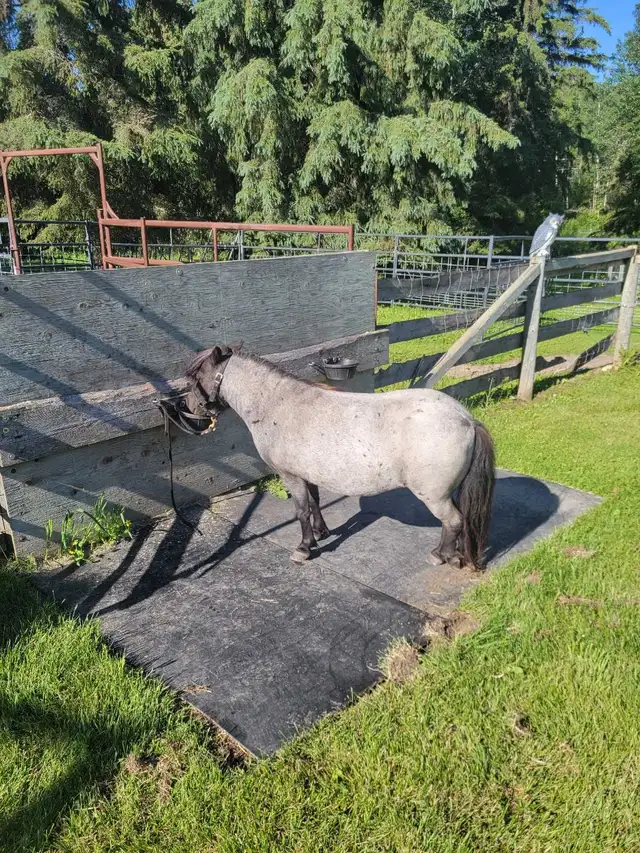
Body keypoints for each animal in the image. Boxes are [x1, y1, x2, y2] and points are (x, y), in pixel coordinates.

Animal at [158, 345, 495, 571]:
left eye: (195, 377)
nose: (189, 409)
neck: (277, 405)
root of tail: (466, 419)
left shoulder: (290, 475)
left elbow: (301, 510)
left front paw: (304, 548)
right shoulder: (307, 473)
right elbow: (315, 502)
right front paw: (322, 533)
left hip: (434, 496)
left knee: (453, 521)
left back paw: (439, 555)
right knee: (457, 521)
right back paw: (454, 555)